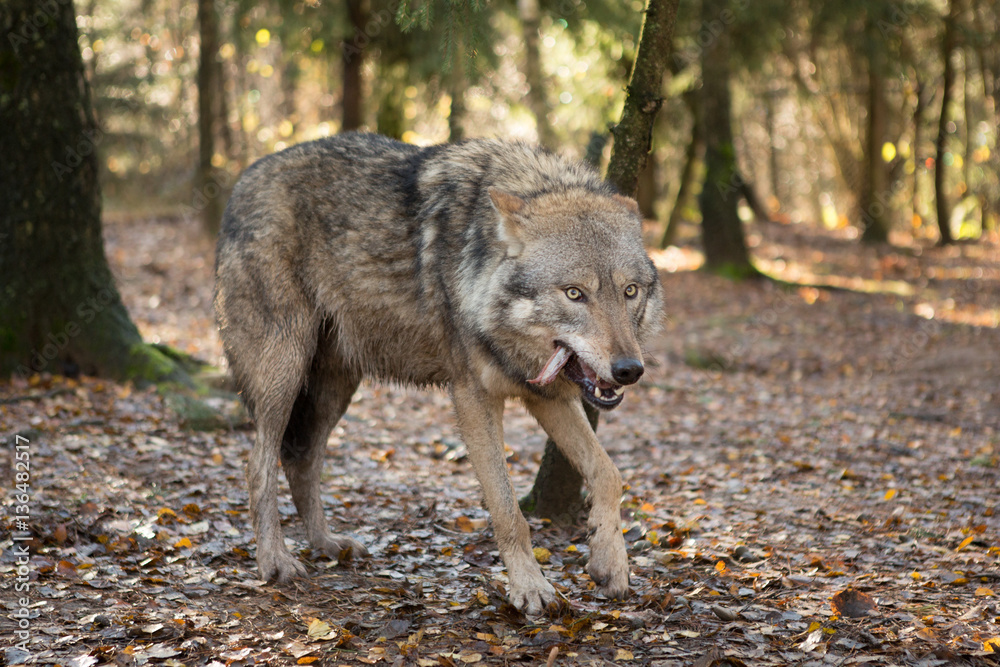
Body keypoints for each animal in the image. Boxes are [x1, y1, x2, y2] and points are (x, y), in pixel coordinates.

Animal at [214, 132, 663, 614]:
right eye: (575, 294)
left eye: (630, 291)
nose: (628, 370)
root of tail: (243, 182)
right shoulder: (473, 397)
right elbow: (508, 511)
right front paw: (530, 588)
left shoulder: (547, 396)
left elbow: (608, 475)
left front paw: (610, 563)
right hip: (284, 372)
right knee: (259, 462)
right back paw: (275, 561)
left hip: (336, 387)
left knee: (302, 459)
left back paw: (326, 543)